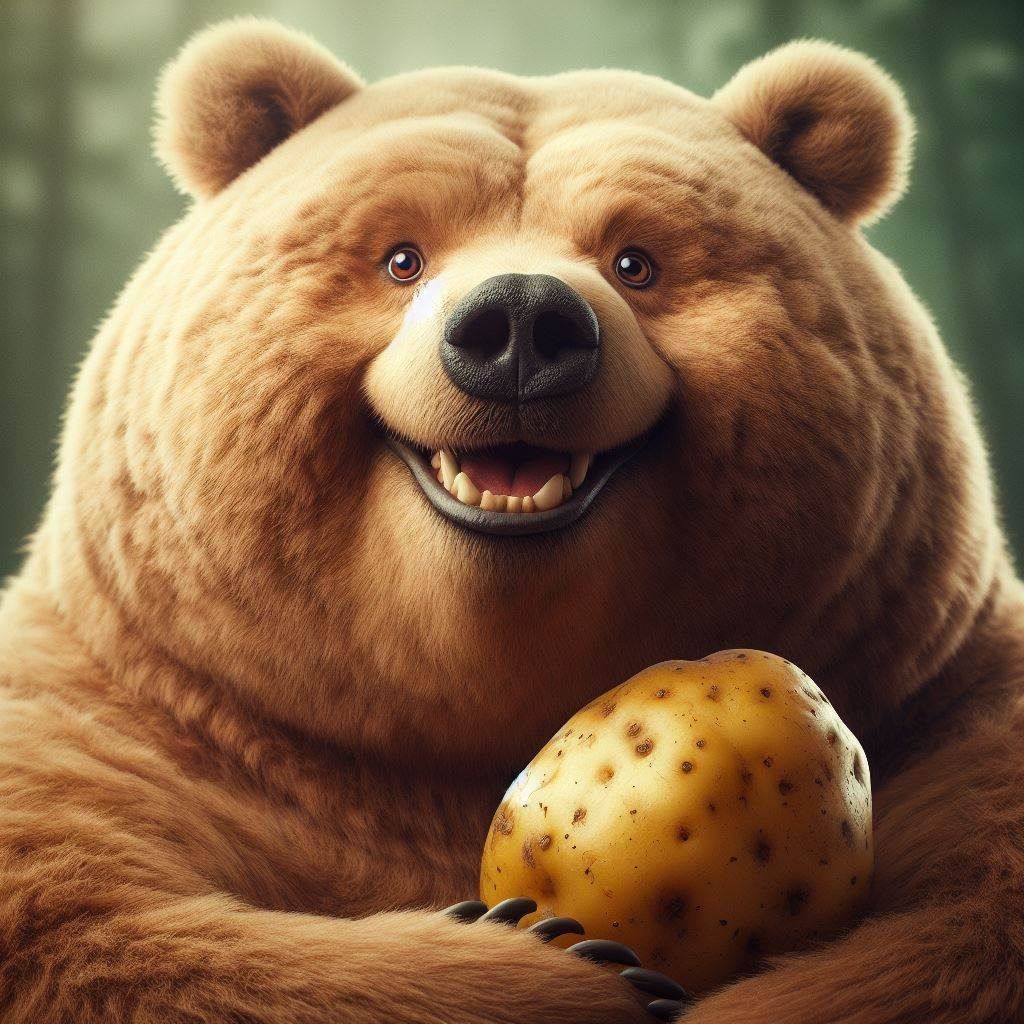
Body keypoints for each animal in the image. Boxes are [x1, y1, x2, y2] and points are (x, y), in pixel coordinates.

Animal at [1, 15, 1022, 1023]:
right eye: (401, 257)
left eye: (636, 261)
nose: (523, 323)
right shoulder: (133, 720)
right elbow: (93, 929)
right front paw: (559, 960)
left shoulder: (949, 710)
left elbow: (958, 929)